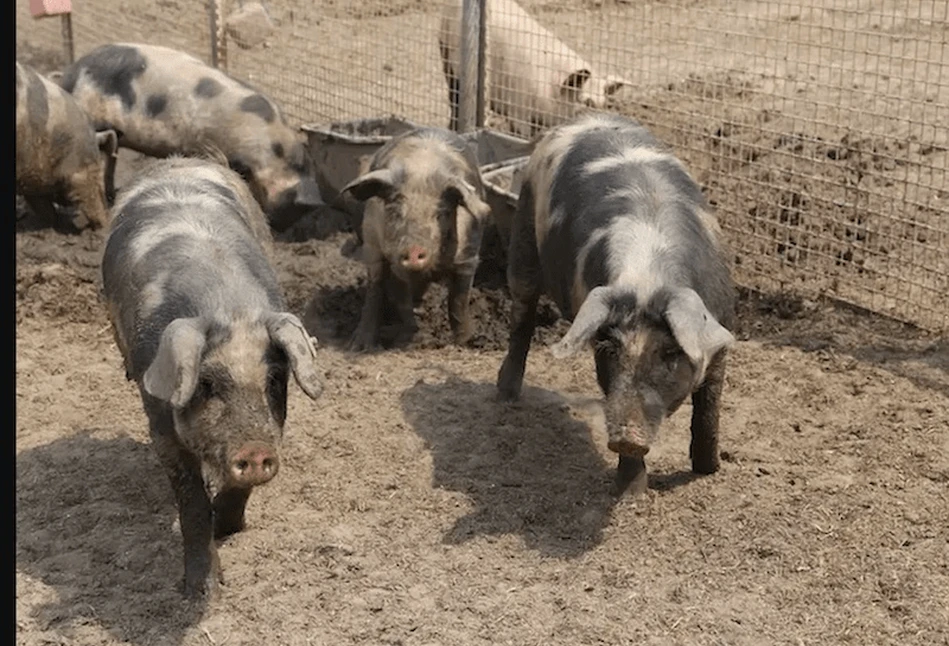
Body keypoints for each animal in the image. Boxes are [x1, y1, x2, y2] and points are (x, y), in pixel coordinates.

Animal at [102, 158, 326, 604]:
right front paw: (202, 593)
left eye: (275, 380)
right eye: (206, 384)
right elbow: (189, 501)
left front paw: (229, 528)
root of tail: (179, 161)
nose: (255, 452)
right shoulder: (161, 423)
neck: (228, 308)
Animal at [340, 127, 492, 354]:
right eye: (395, 211)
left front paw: (466, 341)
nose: (413, 250)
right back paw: (360, 345)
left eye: (441, 214)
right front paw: (408, 341)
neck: (422, 168)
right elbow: (402, 301)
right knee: (375, 290)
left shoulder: (468, 256)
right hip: (372, 244)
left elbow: (458, 301)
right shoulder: (394, 260)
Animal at [496, 112, 732, 496]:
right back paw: (505, 395)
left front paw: (709, 468)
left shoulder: (721, 331)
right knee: (522, 314)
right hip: (524, 227)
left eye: (670, 352)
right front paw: (631, 493)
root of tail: (583, 119)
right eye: (608, 350)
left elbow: (708, 409)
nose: (626, 437)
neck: (648, 277)